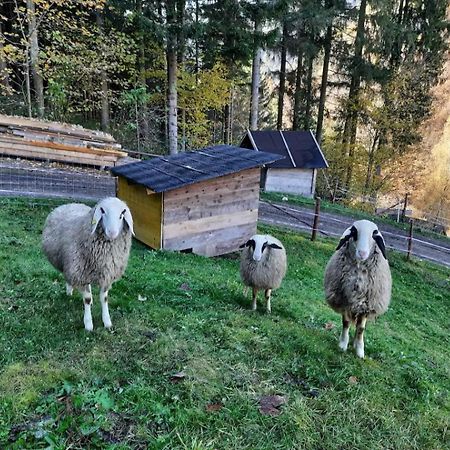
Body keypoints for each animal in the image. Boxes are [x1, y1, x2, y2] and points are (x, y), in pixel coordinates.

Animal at [41, 197, 134, 330]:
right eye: (102, 211)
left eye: (122, 214)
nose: (112, 232)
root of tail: (71, 203)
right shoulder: (79, 271)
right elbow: (87, 299)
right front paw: (88, 324)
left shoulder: (107, 275)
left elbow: (104, 298)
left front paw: (107, 322)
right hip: (71, 265)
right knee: (69, 278)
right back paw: (69, 291)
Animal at [324, 219, 390, 358]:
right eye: (354, 232)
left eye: (374, 234)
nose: (362, 253)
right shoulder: (344, 300)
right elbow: (346, 323)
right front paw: (343, 345)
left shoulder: (366, 305)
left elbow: (361, 329)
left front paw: (360, 351)